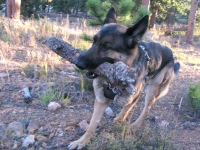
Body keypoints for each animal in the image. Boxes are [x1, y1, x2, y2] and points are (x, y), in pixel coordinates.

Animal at [68, 7, 180, 150]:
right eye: (94, 41)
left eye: (106, 46)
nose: (77, 63)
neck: (114, 81)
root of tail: (170, 51)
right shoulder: (101, 100)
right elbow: (92, 125)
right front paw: (82, 141)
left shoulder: (134, 94)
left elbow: (127, 108)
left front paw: (120, 119)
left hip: (153, 89)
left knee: (147, 109)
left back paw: (134, 126)